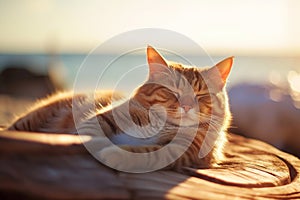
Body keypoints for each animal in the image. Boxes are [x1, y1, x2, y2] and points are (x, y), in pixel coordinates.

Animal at [6, 45, 232, 172]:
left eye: (200, 95)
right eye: (172, 92)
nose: (186, 106)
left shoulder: (178, 151)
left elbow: (146, 154)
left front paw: (114, 154)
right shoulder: (105, 117)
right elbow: (90, 132)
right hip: (31, 119)